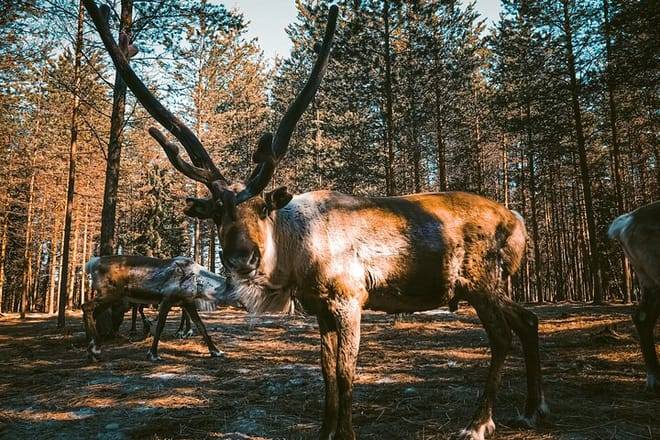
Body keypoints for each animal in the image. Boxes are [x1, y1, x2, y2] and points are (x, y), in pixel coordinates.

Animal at [83, 255, 231, 362]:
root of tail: (92, 263)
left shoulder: (187, 302)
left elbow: (201, 326)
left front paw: (216, 351)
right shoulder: (167, 299)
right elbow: (160, 326)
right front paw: (153, 354)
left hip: (111, 297)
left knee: (93, 312)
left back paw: (92, 349)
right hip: (110, 293)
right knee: (86, 306)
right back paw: (95, 348)